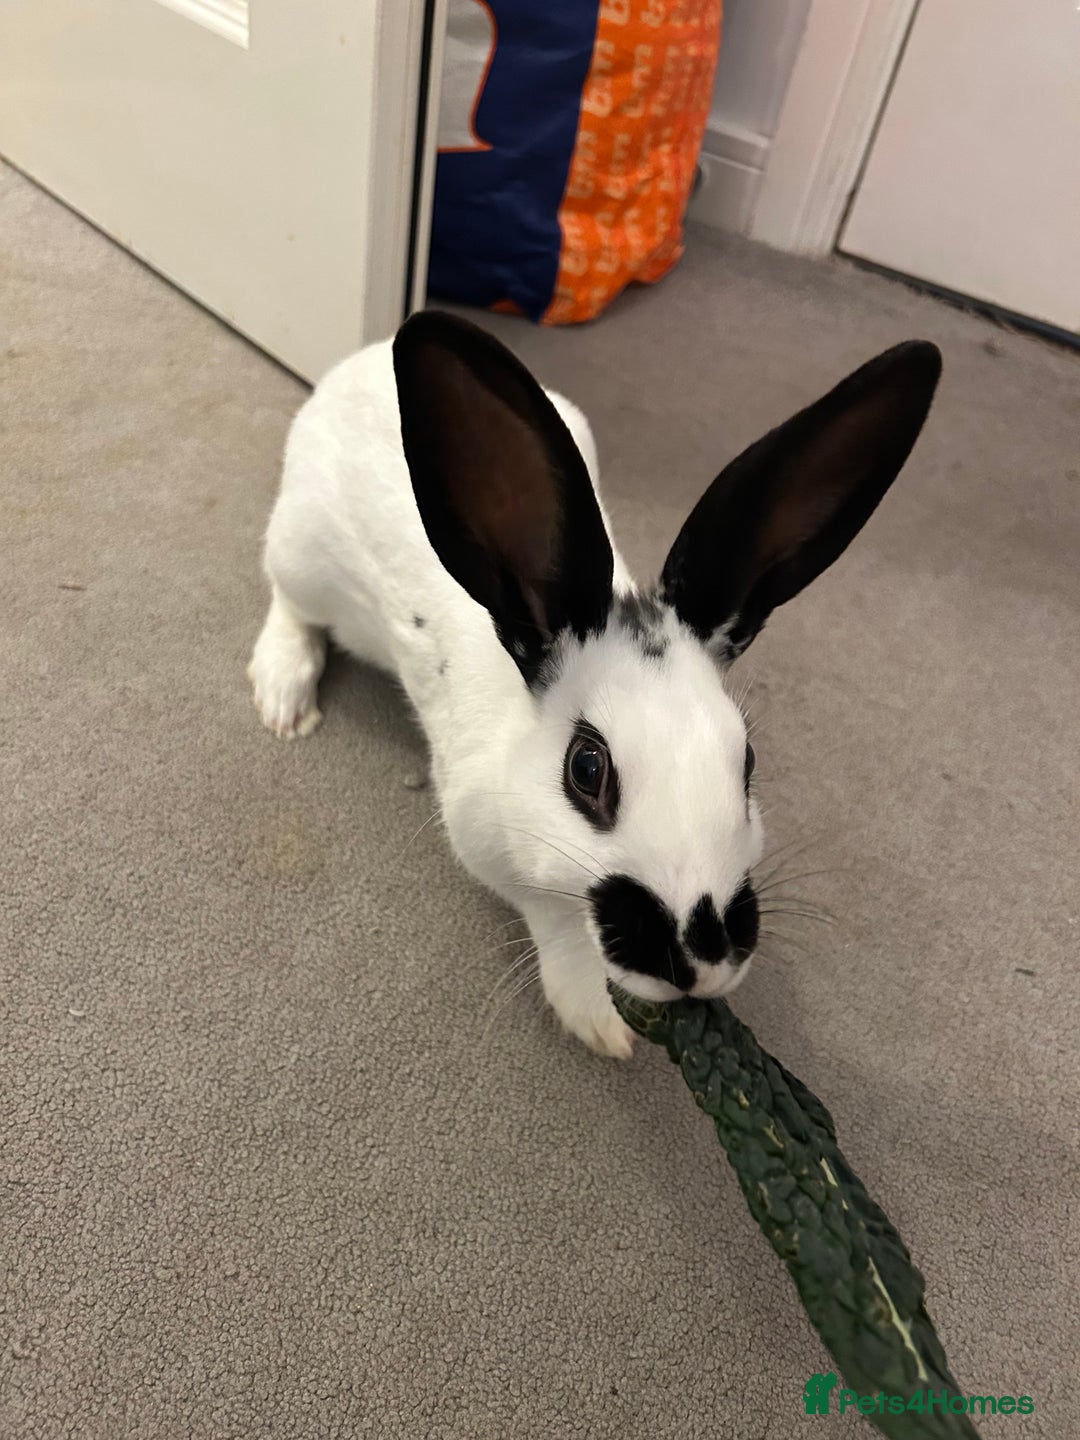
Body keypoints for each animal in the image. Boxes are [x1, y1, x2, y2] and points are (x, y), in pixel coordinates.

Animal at [249, 311, 940, 1058]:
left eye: (748, 762)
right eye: (587, 768)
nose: (700, 958)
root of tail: (364, 360)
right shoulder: (495, 851)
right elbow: (556, 925)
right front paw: (600, 1021)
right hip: (301, 555)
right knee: (288, 601)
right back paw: (283, 697)